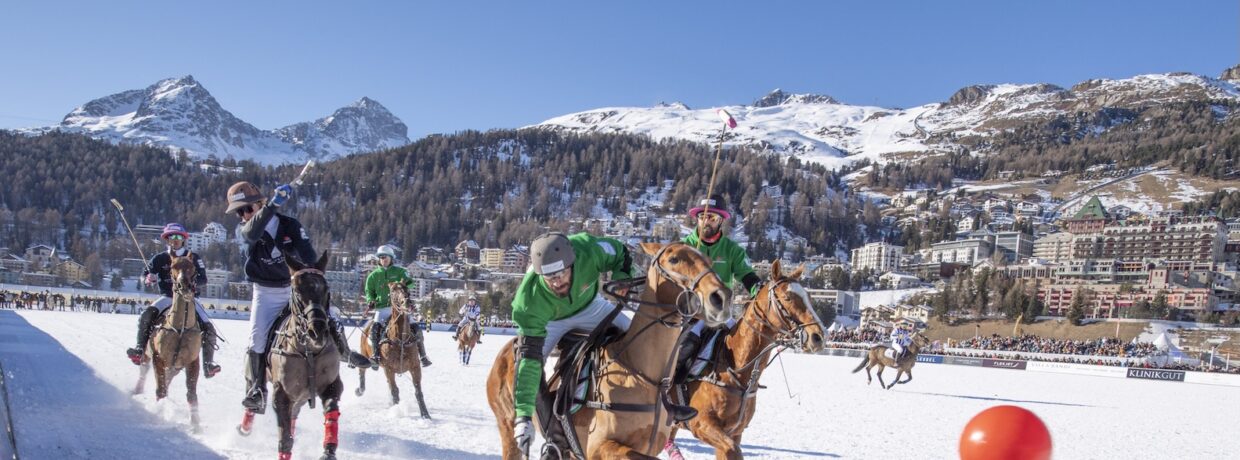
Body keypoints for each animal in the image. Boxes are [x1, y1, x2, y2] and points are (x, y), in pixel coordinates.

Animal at [133, 257, 203, 433]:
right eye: (172, 267)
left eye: (193, 268)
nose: (184, 286)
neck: (180, 328)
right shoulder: (158, 358)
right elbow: (161, 390)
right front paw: (159, 414)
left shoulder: (193, 362)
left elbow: (191, 393)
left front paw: (196, 426)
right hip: (147, 355)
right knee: (144, 371)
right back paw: (136, 391)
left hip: (174, 368)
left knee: (168, 379)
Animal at [235, 254, 344, 460]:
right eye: (298, 291)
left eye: (326, 290)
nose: (318, 332)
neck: (309, 352)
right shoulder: (282, 394)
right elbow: (285, 437)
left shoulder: (330, 385)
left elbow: (331, 412)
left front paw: (328, 450)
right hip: (254, 378)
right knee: (252, 395)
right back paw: (244, 426)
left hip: (299, 396)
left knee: (294, 414)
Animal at [359, 281, 431, 419]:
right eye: (392, 291)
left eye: (407, 289)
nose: (406, 302)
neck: (400, 339)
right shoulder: (389, 369)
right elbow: (394, 390)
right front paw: (396, 411)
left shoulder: (415, 367)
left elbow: (418, 391)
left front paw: (426, 415)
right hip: (364, 354)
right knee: (362, 370)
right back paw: (359, 391)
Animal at [486, 243, 734, 458]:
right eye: (674, 259)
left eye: (710, 260)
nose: (721, 297)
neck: (646, 378)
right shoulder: (599, 447)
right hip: (507, 425)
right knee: (531, 356)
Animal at [664, 261, 828, 458]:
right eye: (787, 297)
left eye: (809, 297)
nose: (818, 337)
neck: (735, 368)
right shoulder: (702, 424)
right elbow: (733, 450)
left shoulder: (734, 432)